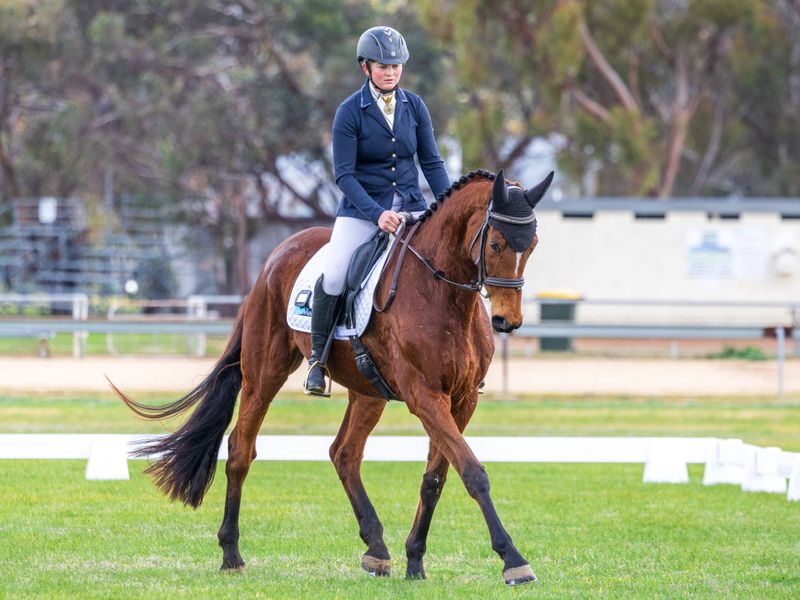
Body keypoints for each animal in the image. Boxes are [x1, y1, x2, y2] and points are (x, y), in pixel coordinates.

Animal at [112, 168, 553, 586]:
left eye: (531, 245)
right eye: (495, 244)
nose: (507, 321)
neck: (442, 294)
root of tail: (275, 256)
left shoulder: (462, 400)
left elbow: (437, 478)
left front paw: (415, 561)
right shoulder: (425, 397)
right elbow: (473, 472)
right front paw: (513, 561)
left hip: (368, 391)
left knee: (344, 453)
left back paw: (376, 549)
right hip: (265, 372)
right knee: (240, 450)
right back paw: (231, 555)